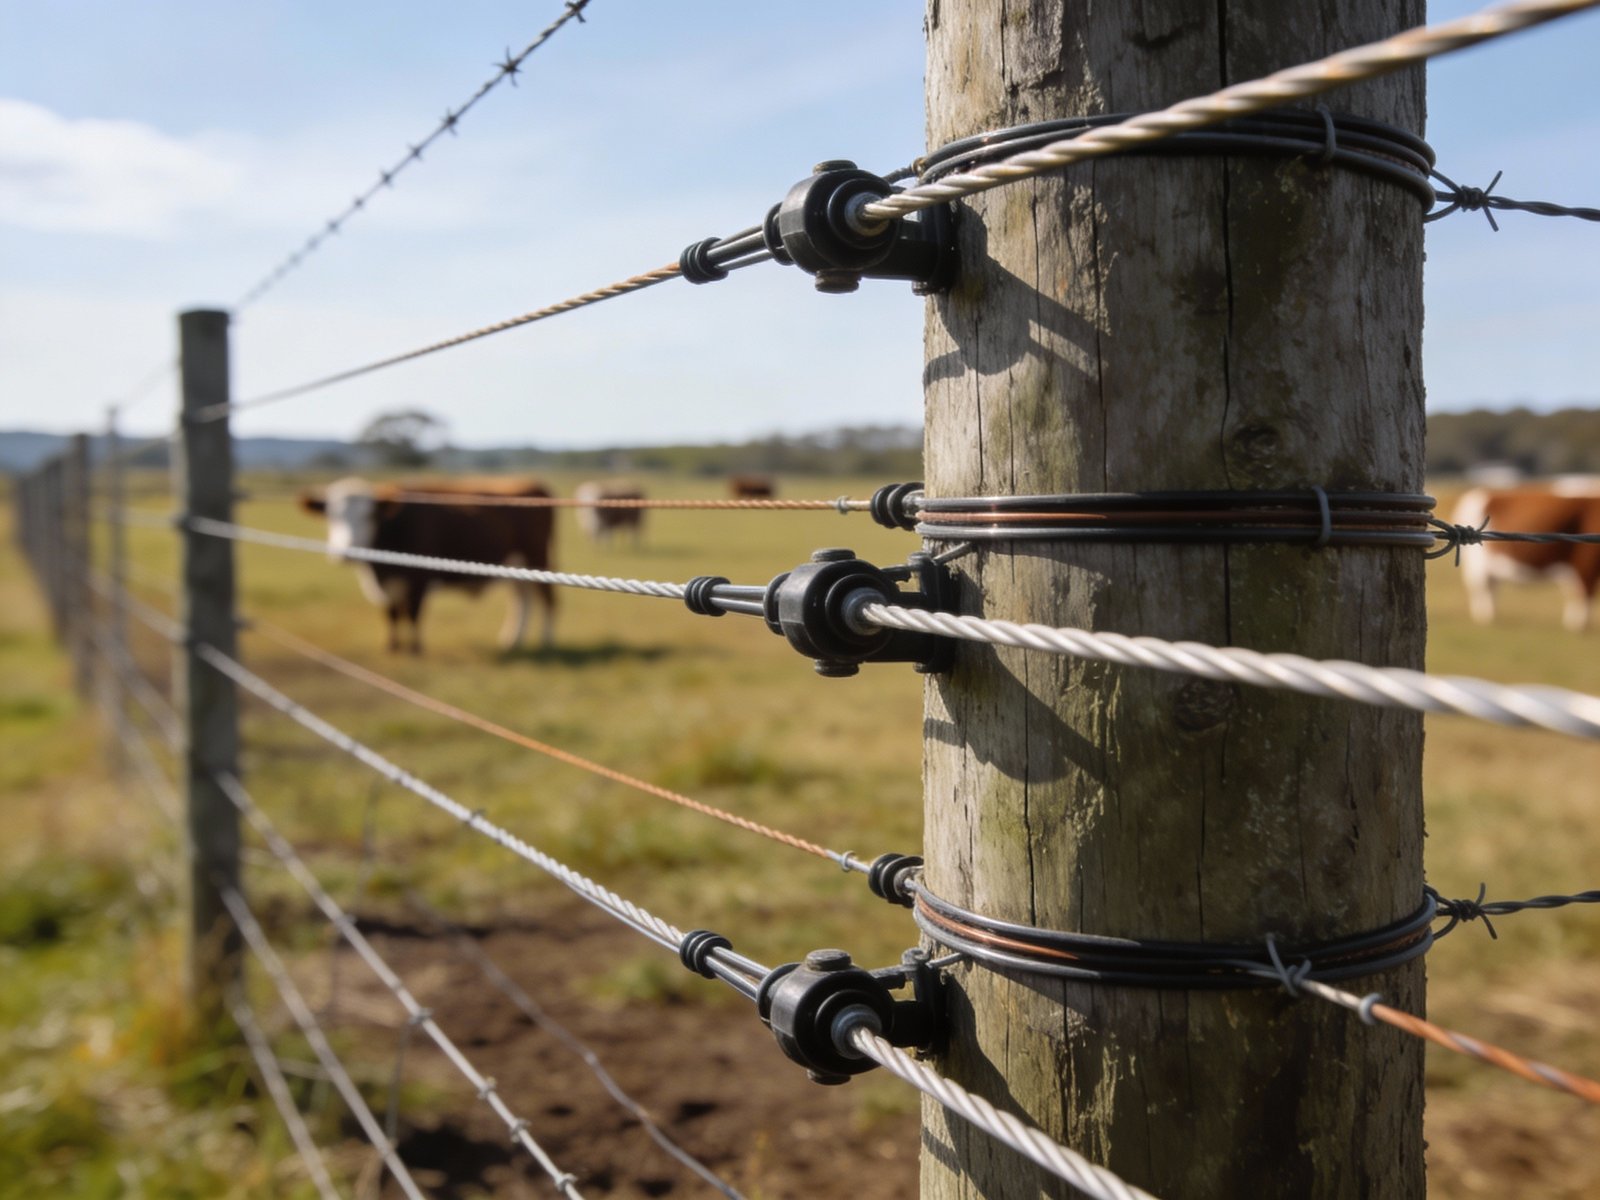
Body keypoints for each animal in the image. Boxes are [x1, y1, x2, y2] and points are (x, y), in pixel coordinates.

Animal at [301, 477, 557, 654]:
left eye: (369, 516)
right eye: (331, 516)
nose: (346, 552)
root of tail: (532, 483)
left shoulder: (419, 579)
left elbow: (413, 614)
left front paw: (415, 650)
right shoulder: (386, 584)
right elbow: (392, 614)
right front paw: (392, 647)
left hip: (537, 557)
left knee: (547, 598)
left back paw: (546, 641)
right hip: (516, 565)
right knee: (522, 599)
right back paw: (513, 640)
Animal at [1453, 484, 1600, 632]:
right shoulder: (1585, 564)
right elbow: (1585, 595)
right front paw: (1579, 627)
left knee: (1489, 589)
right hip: (1478, 565)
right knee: (1482, 589)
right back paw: (1486, 619)